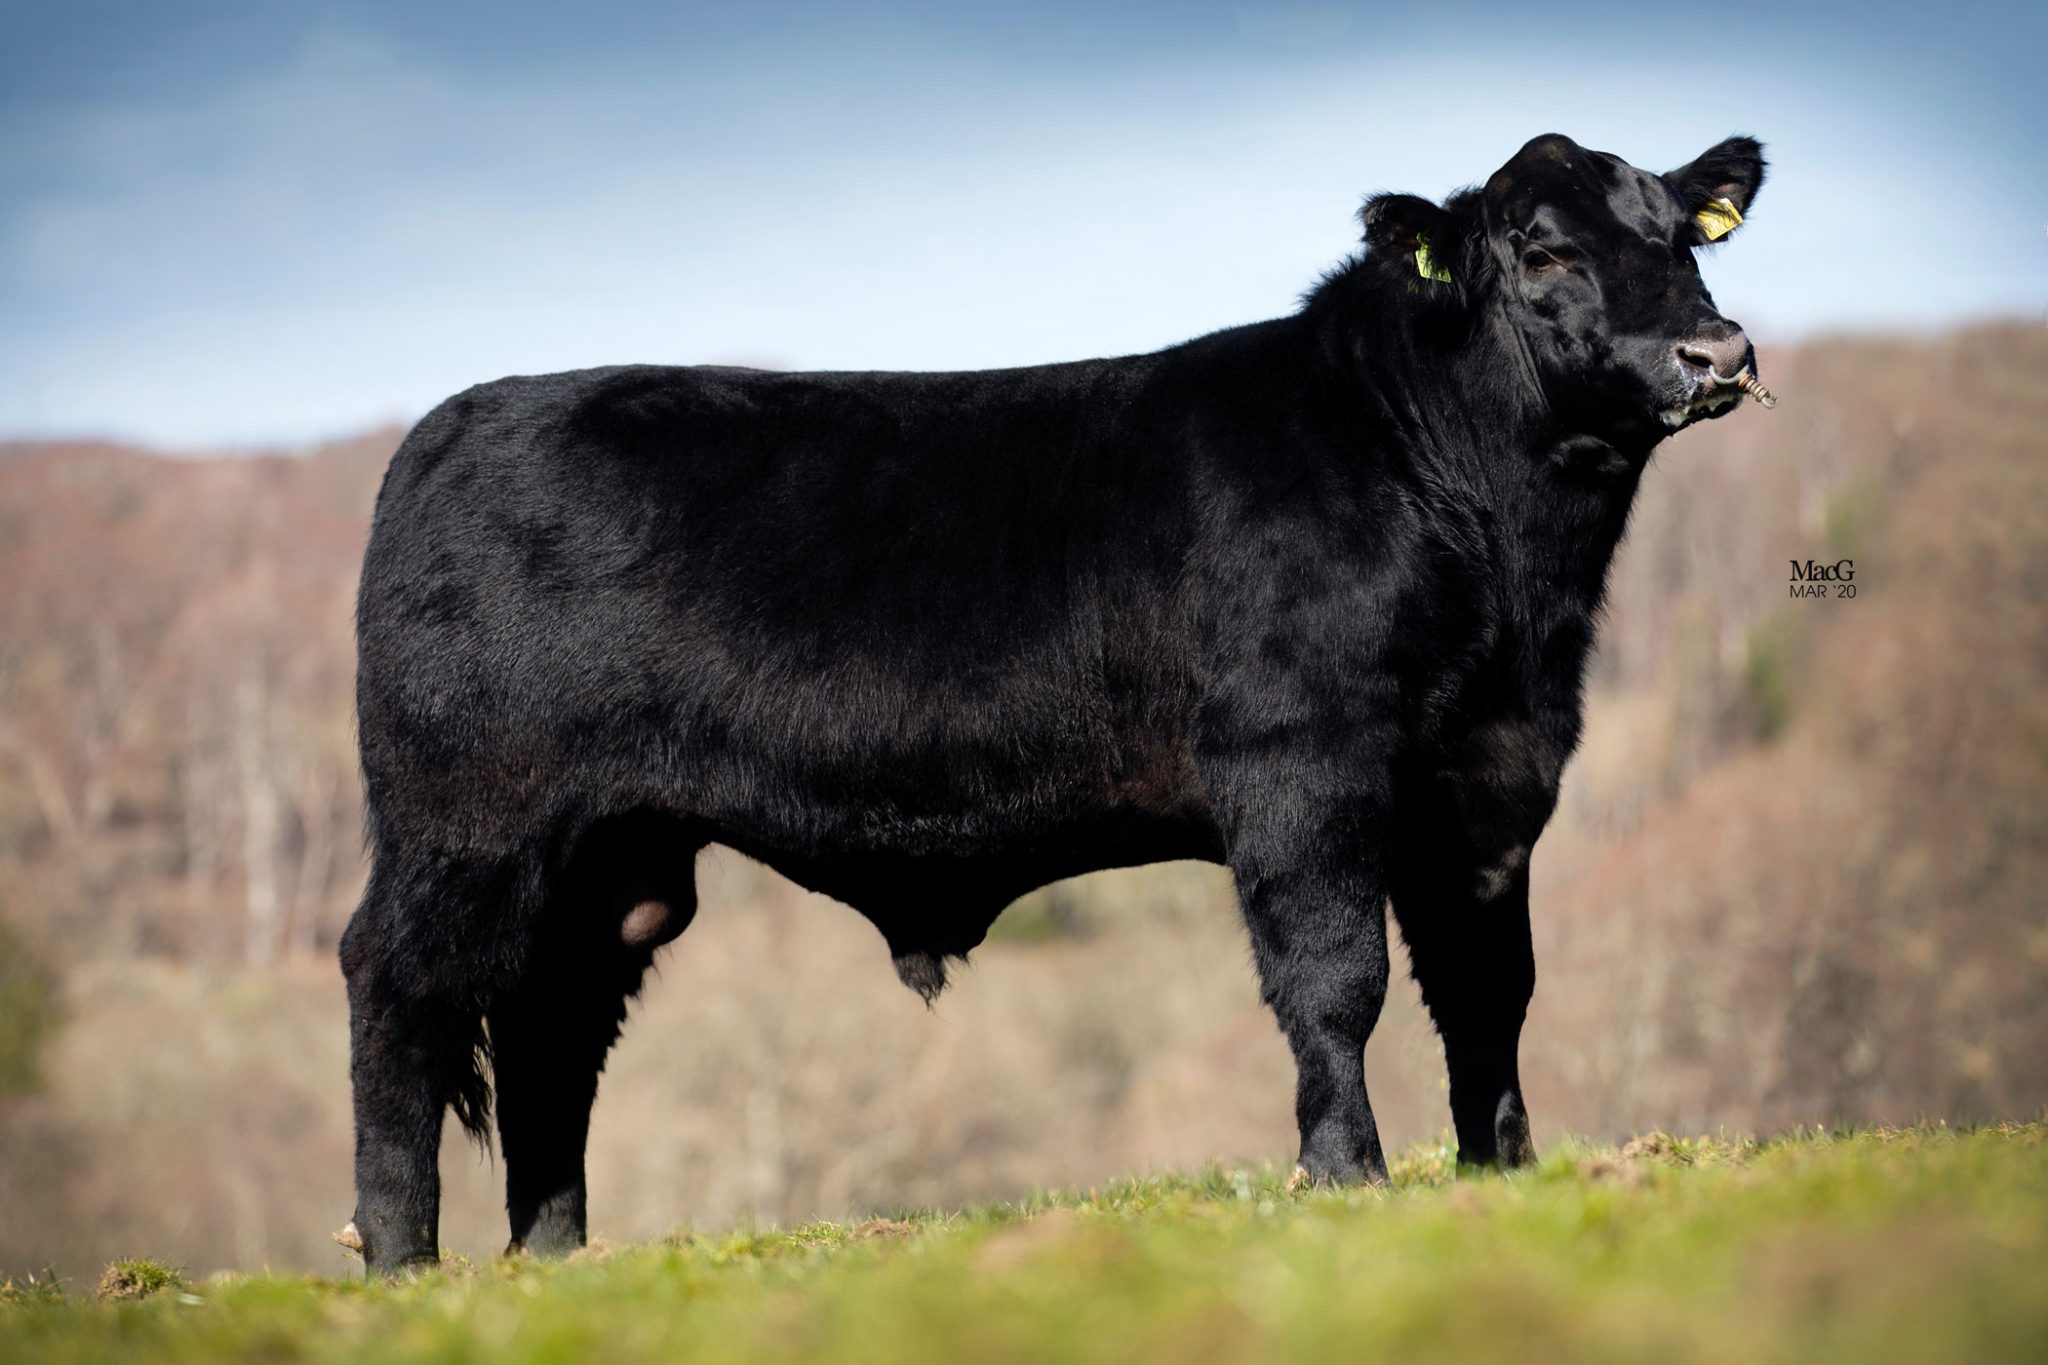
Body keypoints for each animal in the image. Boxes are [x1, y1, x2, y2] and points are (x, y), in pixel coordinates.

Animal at [339, 132, 1768, 1275]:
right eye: (1541, 252)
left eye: (1677, 237)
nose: (1715, 349)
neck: (1501, 561)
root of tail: (449, 427)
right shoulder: (1301, 765)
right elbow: (1333, 980)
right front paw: (1344, 1173)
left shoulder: (1492, 778)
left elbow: (1487, 987)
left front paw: (1505, 1171)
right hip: (466, 817)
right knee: (397, 984)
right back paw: (403, 1260)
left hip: (607, 861)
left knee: (549, 1028)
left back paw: (552, 1262)